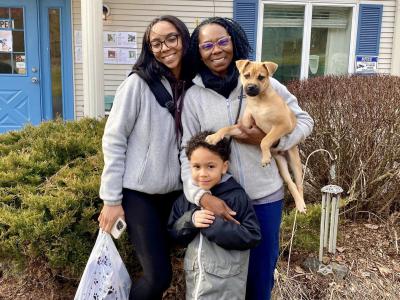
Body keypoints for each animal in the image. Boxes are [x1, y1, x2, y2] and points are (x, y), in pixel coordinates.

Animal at [206, 59, 306, 212]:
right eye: (246, 75)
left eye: (261, 77)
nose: (251, 87)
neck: (259, 101)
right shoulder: (243, 127)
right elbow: (227, 127)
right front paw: (214, 137)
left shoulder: (283, 125)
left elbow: (265, 139)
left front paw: (264, 158)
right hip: (282, 164)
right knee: (290, 183)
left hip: (294, 160)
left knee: (300, 184)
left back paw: (301, 205)